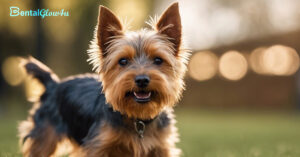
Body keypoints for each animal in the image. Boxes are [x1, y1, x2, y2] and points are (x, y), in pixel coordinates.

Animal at [18, 2, 189, 157]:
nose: (142, 80)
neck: (138, 118)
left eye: (158, 60)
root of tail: (53, 84)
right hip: (45, 134)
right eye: (123, 61)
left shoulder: (161, 146)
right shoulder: (99, 145)